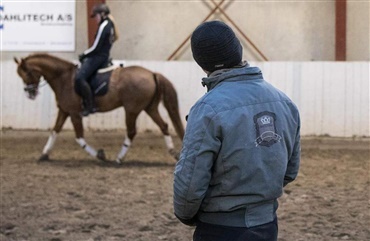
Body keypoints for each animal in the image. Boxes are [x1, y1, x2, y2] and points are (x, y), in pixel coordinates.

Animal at [14, 53, 185, 164]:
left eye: (27, 73)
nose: (30, 93)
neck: (63, 78)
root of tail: (152, 74)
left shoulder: (75, 114)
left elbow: (79, 137)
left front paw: (100, 155)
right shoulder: (64, 111)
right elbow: (54, 131)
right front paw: (44, 154)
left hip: (132, 110)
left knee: (131, 132)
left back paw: (119, 158)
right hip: (149, 108)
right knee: (164, 126)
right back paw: (173, 153)